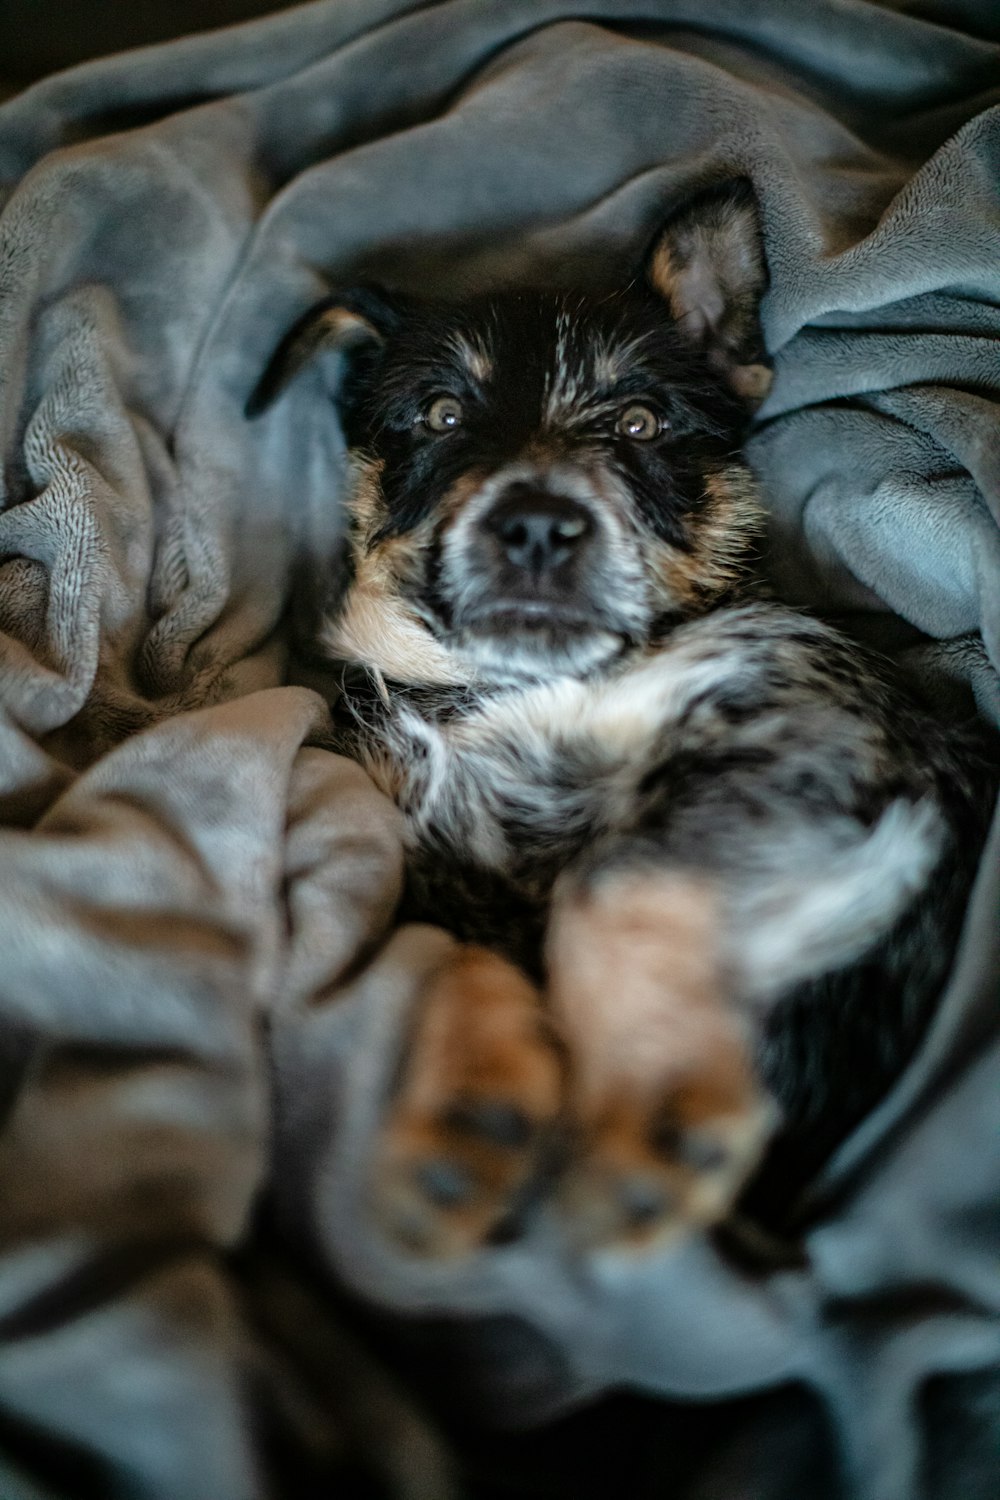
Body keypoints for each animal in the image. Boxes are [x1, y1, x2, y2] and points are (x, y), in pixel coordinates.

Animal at [251, 190, 995, 1266]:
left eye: (640, 423)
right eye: (440, 416)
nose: (536, 524)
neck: (520, 688)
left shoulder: (809, 724)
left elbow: (612, 881)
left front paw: (654, 1117)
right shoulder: (434, 859)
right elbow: (461, 961)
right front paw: (465, 1125)